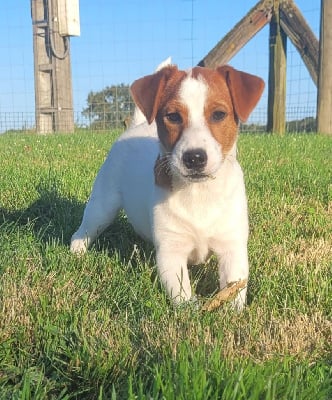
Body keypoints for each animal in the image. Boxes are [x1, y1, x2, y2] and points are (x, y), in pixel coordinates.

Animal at [70, 62, 264, 308]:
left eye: (219, 114)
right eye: (173, 116)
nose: (194, 158)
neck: (199, 193)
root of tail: (136, 126)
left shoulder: (232, 247)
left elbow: (234, 288)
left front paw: (232, 312)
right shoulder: (171, 253)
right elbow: (182, 296)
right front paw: (192, 312)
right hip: (103, 205)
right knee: (85, 229)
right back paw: (77, 251)